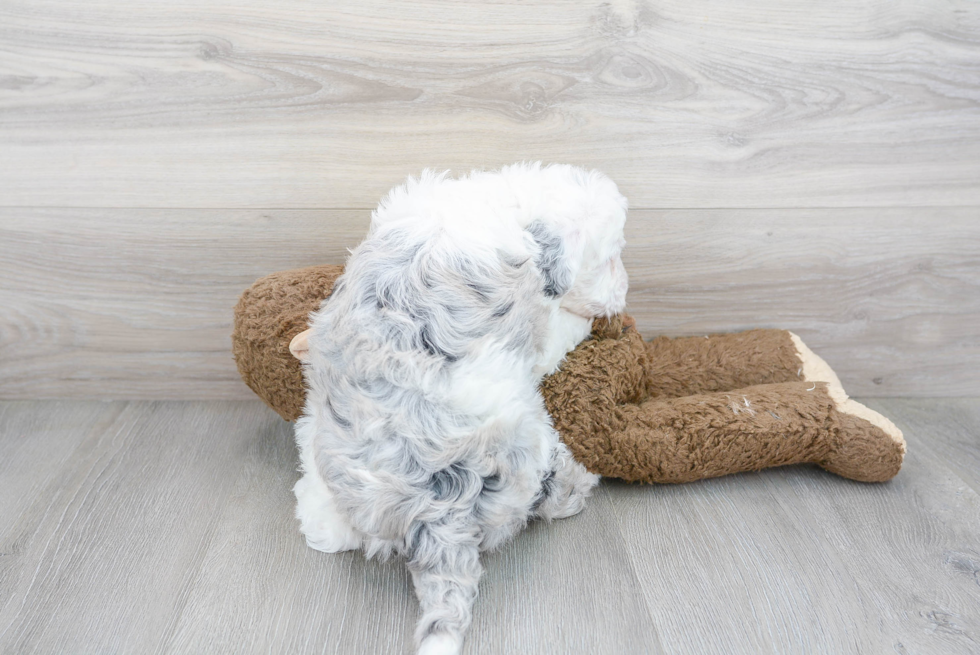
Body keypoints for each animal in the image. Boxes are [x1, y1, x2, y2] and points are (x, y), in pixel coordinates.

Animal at [292, 163, 628, 655]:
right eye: (608, 259)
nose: (625, 291)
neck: (511, 203)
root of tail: (434, 508)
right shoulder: (542, 326)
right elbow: (559, 331)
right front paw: (584, 322)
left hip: (320, 439)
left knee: (326, 524)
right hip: (528, 444)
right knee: (548, 494)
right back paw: (579, 482)